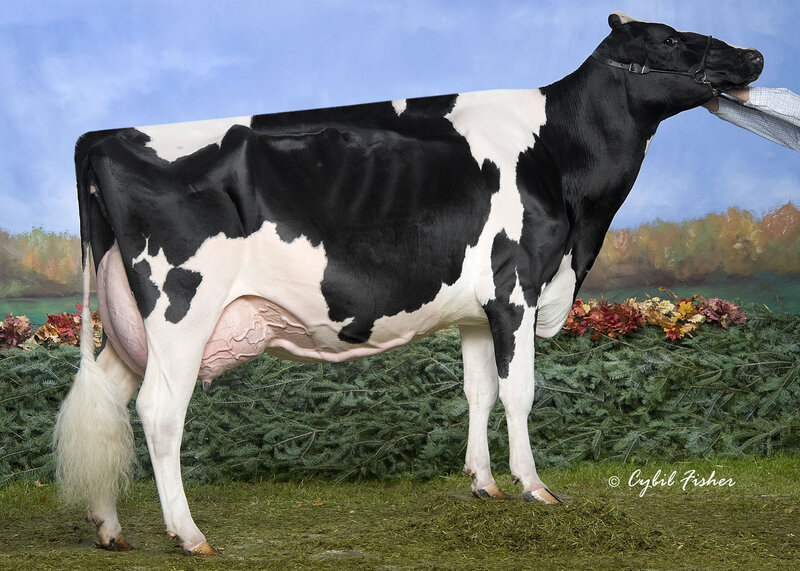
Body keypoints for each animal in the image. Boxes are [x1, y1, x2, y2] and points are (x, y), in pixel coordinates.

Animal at [54, 12, 763, 555]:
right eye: (669, 38)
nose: (755, 54)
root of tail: (102, 136)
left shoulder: (478, 308)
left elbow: (479, 391)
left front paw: (483, 484)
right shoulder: (516, 286)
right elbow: (519, 393)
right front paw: (534, 487)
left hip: (128, 324)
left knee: (110, 403)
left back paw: (109, 528)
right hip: (181, 309)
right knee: (158, 411)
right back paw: (189, 534)